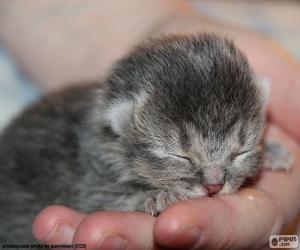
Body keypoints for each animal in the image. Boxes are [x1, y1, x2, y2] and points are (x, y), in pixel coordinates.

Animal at [0, 33, 290, 242]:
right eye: (180, 156)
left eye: (240, 152)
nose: (214, 186)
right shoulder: (90, 182)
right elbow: (109, 199)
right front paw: (161, 196)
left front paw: (273, 151)